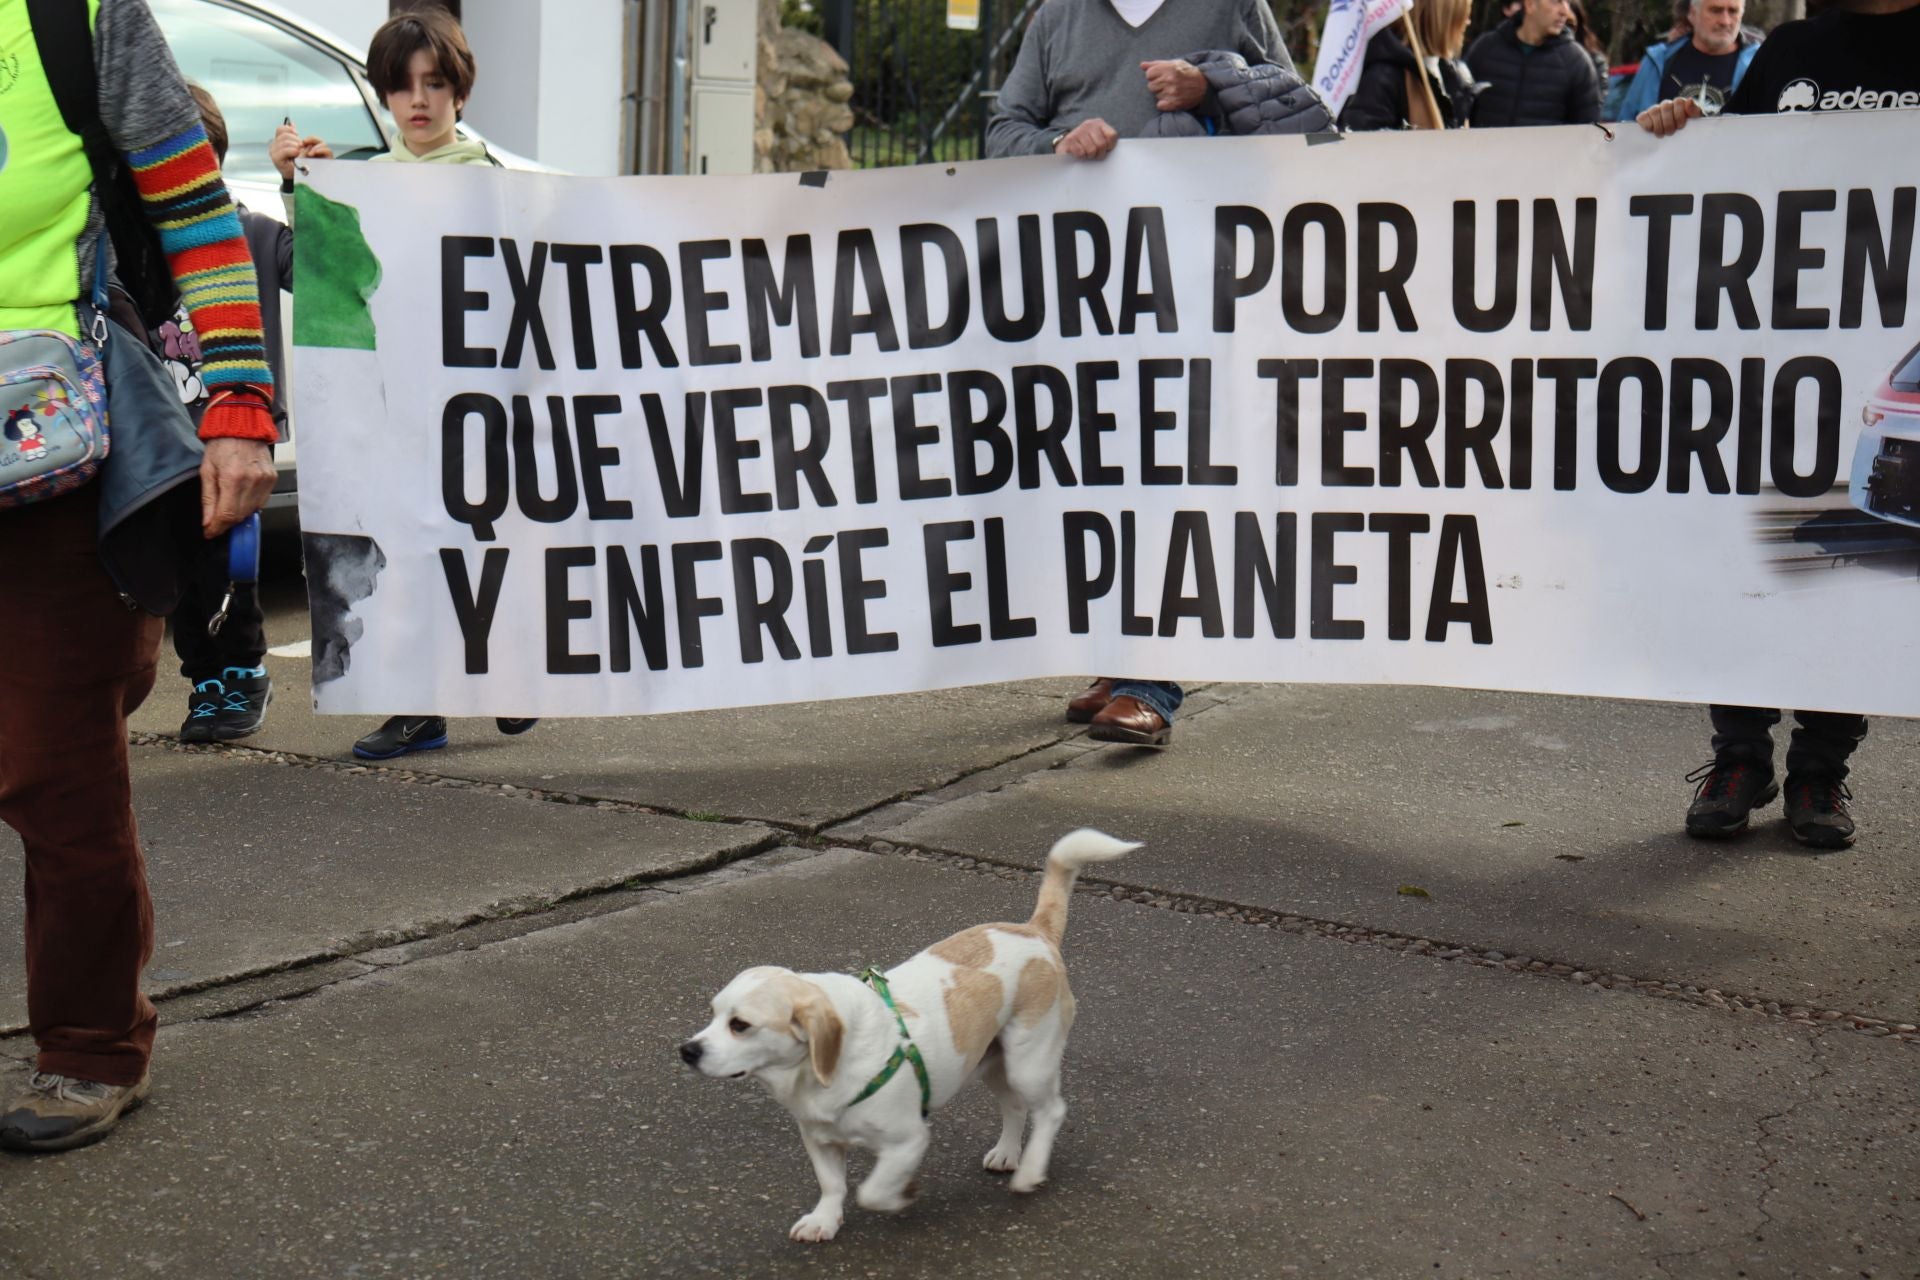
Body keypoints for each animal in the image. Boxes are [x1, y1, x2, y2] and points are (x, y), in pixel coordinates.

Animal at [675, 832, 1128, 1243]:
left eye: (740, 1024)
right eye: (713, 1014)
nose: (687, 1051)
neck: (821, 1075)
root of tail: (1034, 931)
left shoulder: (908, 1141)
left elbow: (871, 1192)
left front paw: (902, 1194)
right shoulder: (819, 1138)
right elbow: (832, 1185)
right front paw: (824, 1220)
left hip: (1029, 1063)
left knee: (1050, 1111)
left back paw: (1031, 1170)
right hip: (994, 1065)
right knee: (1015, 1107)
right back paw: (1008, 1153)